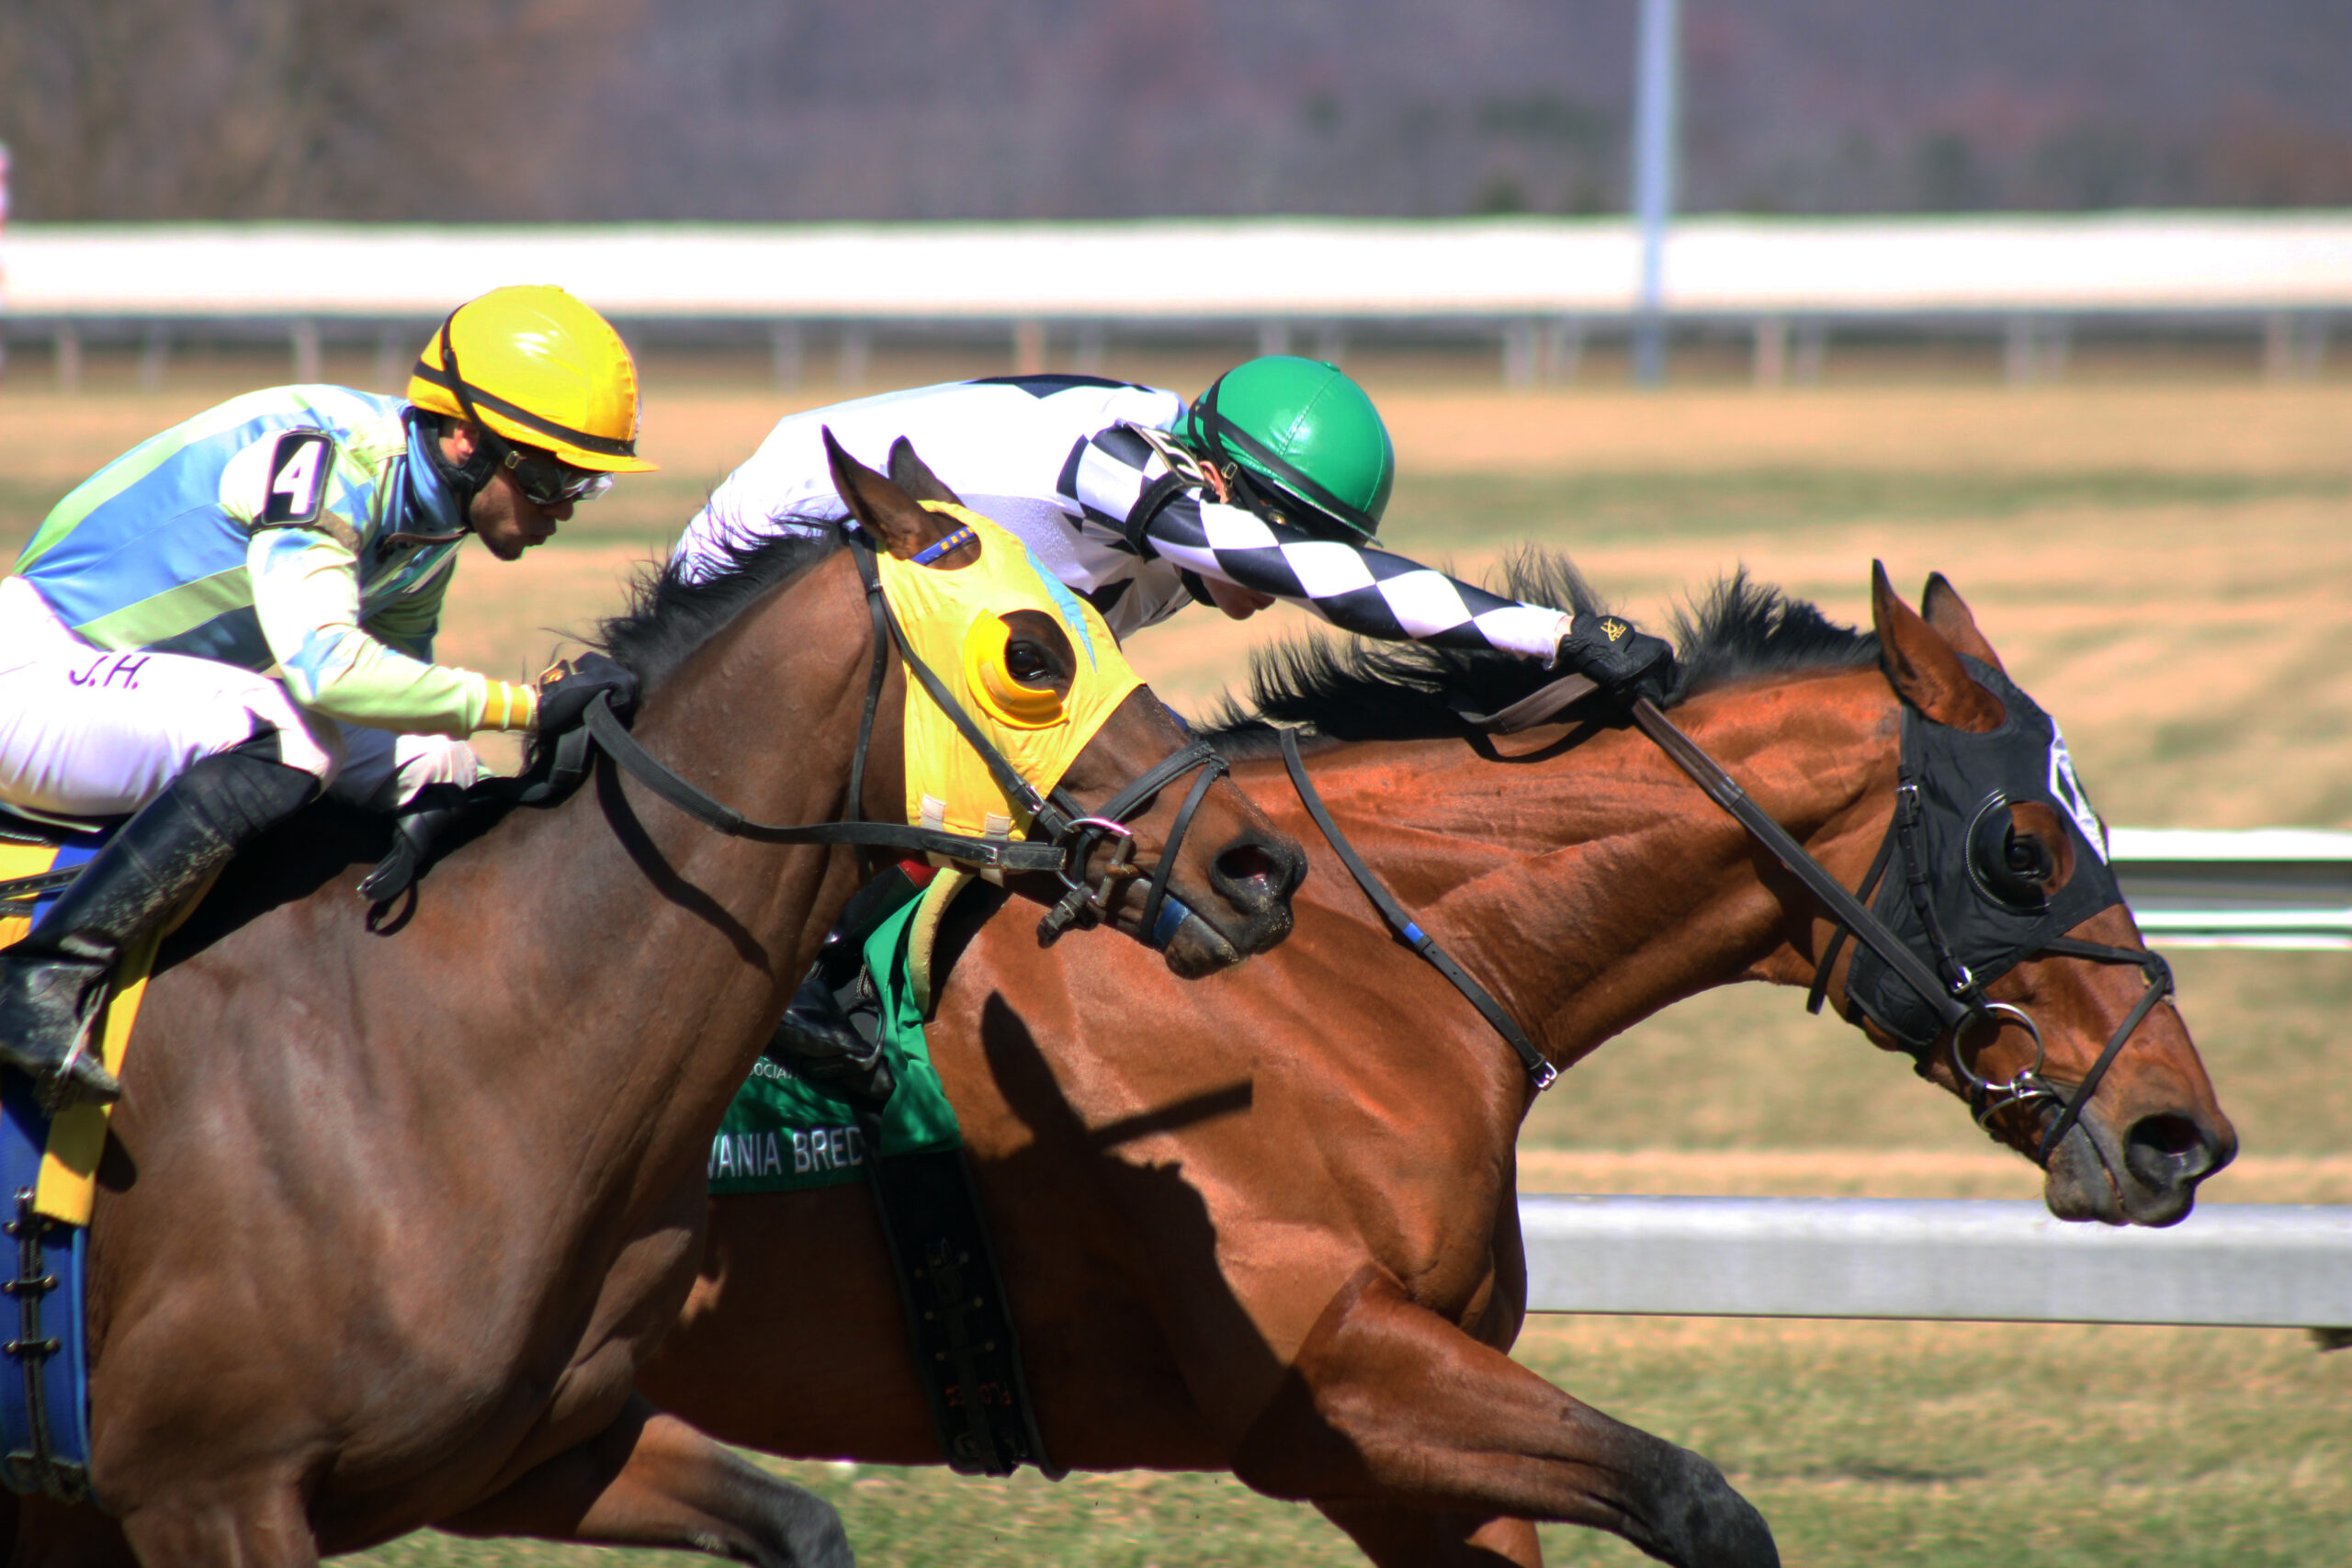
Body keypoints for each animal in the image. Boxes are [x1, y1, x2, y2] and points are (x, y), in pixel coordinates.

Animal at [5, 442, 1307, 1568]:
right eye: (1031, 655)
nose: (1260, 867)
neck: (446, 1046)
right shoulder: (207, 1491)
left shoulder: (534, 1447)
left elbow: (801, 1525)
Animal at [635, 564, 2229, 1568]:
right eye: (2022, 847)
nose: (2180, 1132)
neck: (1348, 974)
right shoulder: (1326, 1374)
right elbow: (1703, 1503)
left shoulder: (1394, 1447)